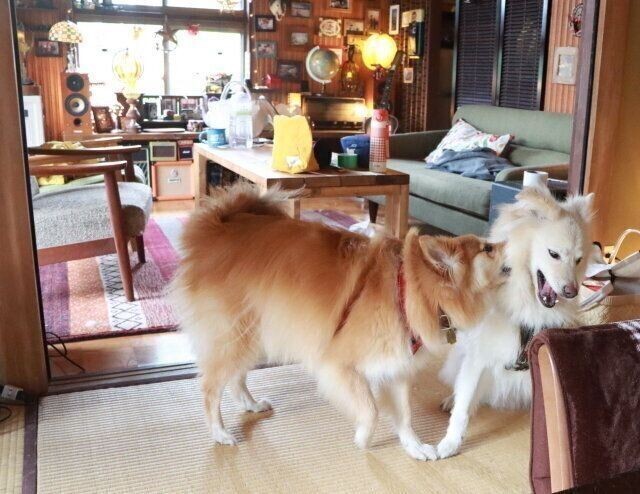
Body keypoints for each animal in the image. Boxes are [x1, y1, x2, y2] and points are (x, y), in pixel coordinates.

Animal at [172, 183, 508, 462]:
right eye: (488, 248)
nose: (508, 241)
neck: (407, 290)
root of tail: (216, 226)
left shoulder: (398, 365)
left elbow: (405, 414)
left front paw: (413, 446)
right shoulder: (338, 364)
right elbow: (371, 410)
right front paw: (364, 439)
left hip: (254, 332)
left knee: (235, 378)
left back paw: (250, 405)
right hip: (236, 333)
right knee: (211, 386)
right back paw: (219, 433)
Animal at [438, 186, 592, 460]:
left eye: (578, 260)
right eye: (554, 254)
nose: (571, 291)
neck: (527, 303)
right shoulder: (479, 356)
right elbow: (463, 405)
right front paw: (450, 443)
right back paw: (449, 401)